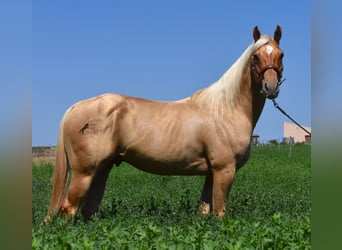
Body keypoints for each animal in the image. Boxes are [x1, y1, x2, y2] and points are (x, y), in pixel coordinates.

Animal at [46, 25, 284, 221]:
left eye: (281, 55)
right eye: (255, 57)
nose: (271, 87)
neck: (225, 109)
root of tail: (74, 108)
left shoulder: (210, 173)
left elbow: (204, 211)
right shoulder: (224, 170)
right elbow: (219, 212)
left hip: (102, 169)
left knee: (88, 209)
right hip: (84, 172)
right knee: (69, 209)